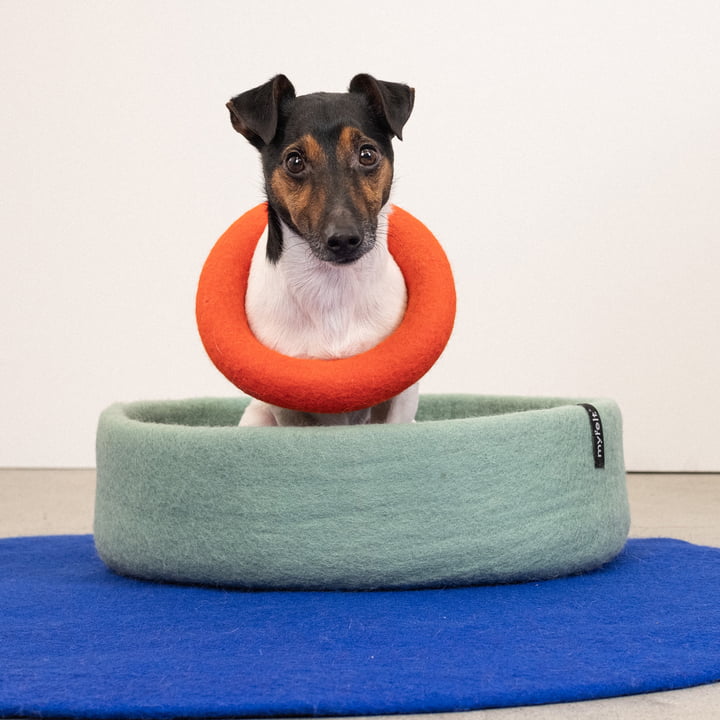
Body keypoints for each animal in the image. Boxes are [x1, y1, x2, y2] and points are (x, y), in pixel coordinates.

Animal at [225, 74, 416, 424]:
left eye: (367, 155)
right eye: (295, 161)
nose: (343, 239)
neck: (332, 290)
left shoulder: (402, 393)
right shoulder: (285, 403)